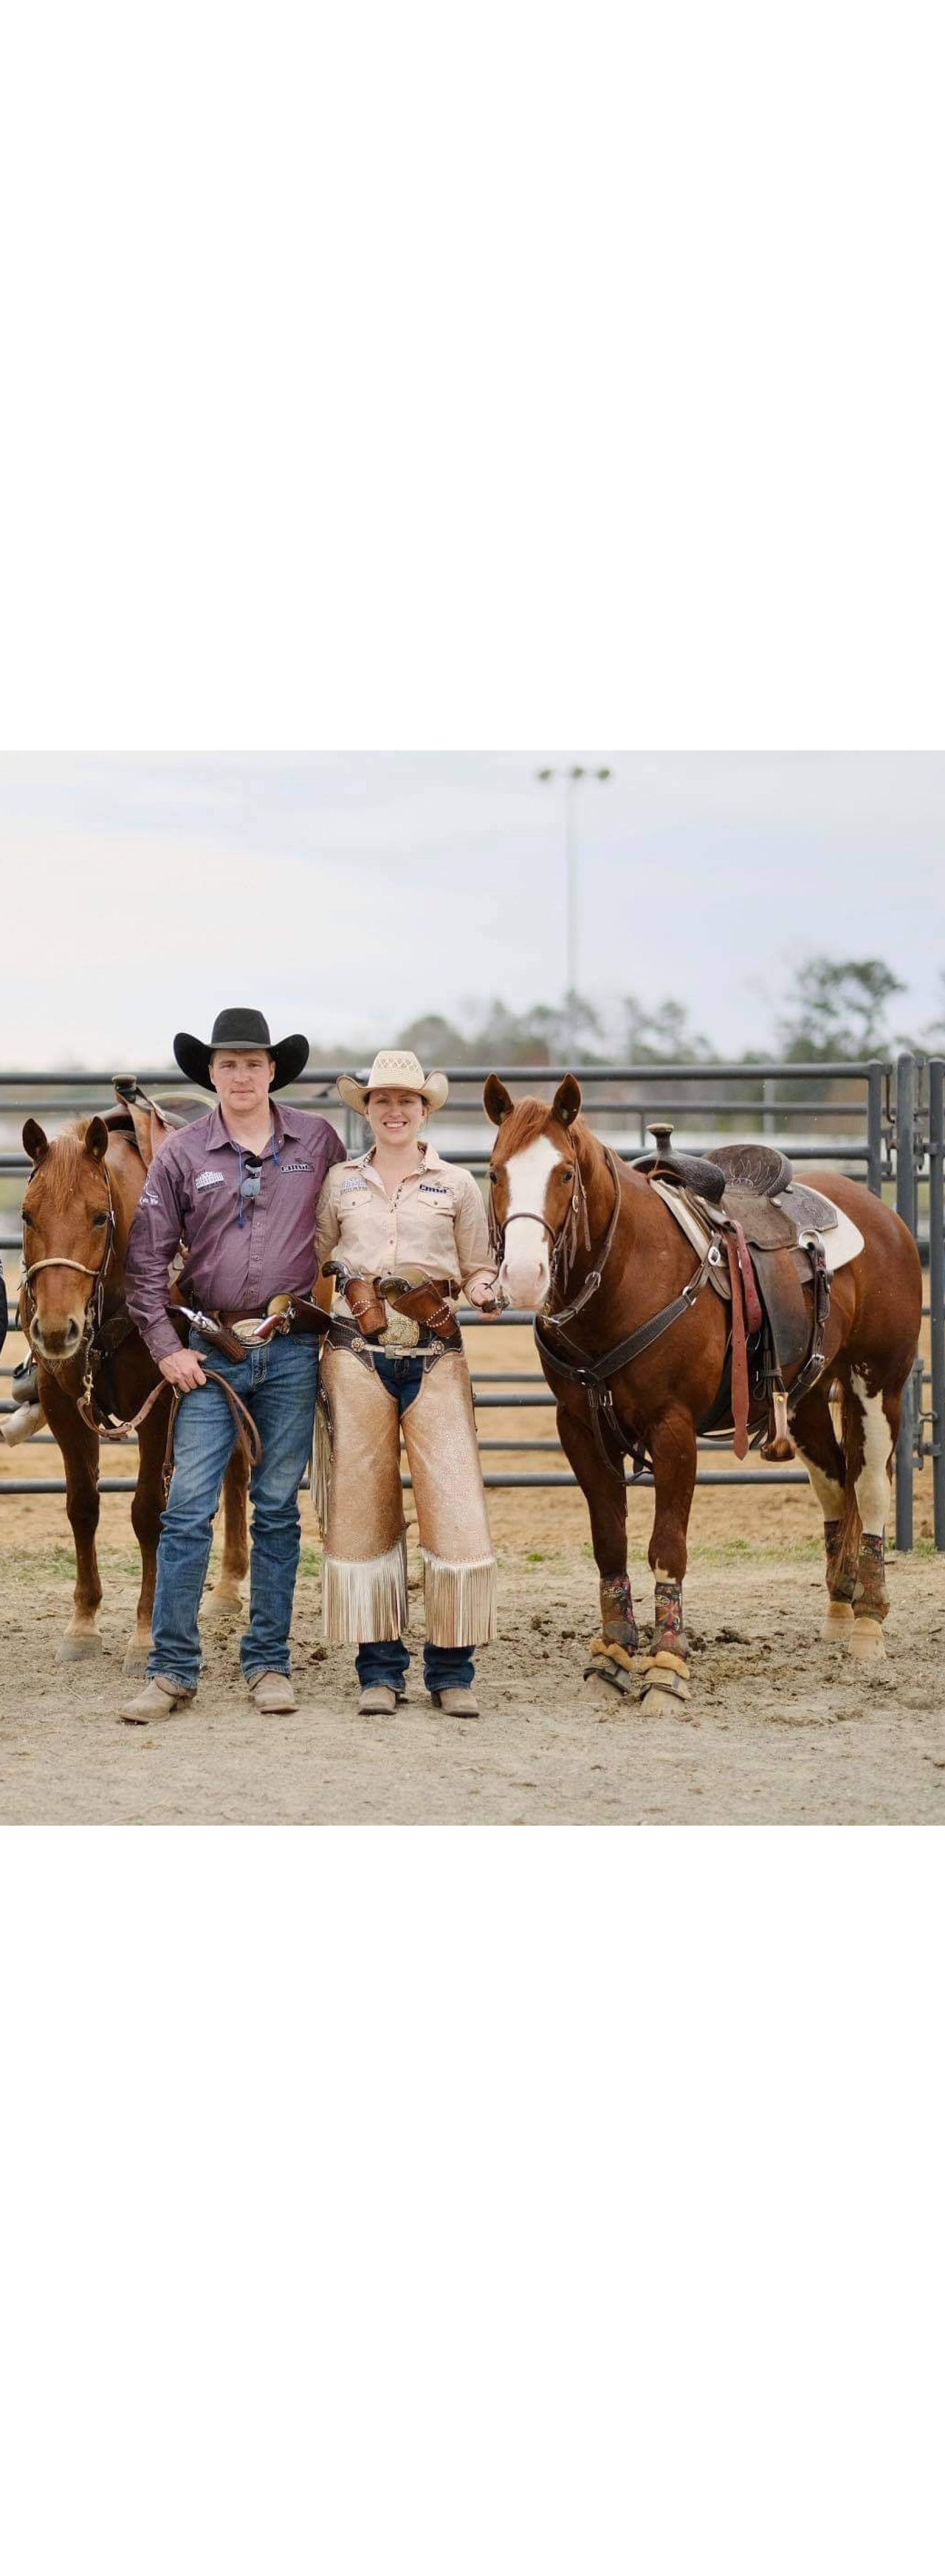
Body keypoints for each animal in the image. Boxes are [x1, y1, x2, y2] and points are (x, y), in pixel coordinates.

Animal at [22, 1118, 252, 1680]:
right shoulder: (63, 1405)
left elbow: (150, 1513)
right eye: (26, 1215)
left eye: (99, 1217)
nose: (57, 1330)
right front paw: (82, 1627)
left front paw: (146, 1636)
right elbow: (82, 1508)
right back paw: (225, 1589)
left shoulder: (161, 1403)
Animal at [489, 1072, 927, 1710]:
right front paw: (612, 1655)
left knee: (869, 1487)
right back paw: (839, 1611)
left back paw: (869, 1624)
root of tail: (884, 1216)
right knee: (834, 1485)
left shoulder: (673, 1430)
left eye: (565, 1173)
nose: (524, 1277)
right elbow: (610, 1542)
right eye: (495, 1171)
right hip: (807, 1397)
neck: (628, 1271)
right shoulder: (579, 1429)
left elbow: (666, 1546)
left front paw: (667, 1667)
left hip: (879, 1381)